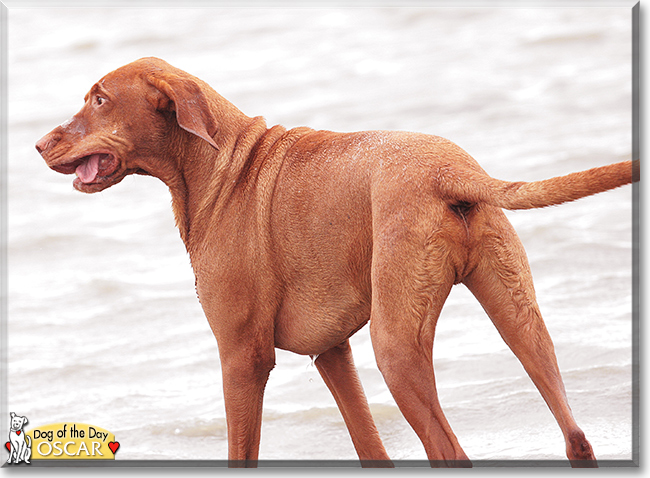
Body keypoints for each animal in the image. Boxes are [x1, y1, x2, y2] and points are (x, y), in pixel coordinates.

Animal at [34, 57, 632, 466]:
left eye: (100, 100)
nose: (39, 144)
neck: (219, 165)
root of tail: (452, 171)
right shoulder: (332, 353)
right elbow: (371, 448)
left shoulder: (241, 358)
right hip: (520, 318)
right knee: (574, 434)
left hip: (396, 347)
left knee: (451, 449)